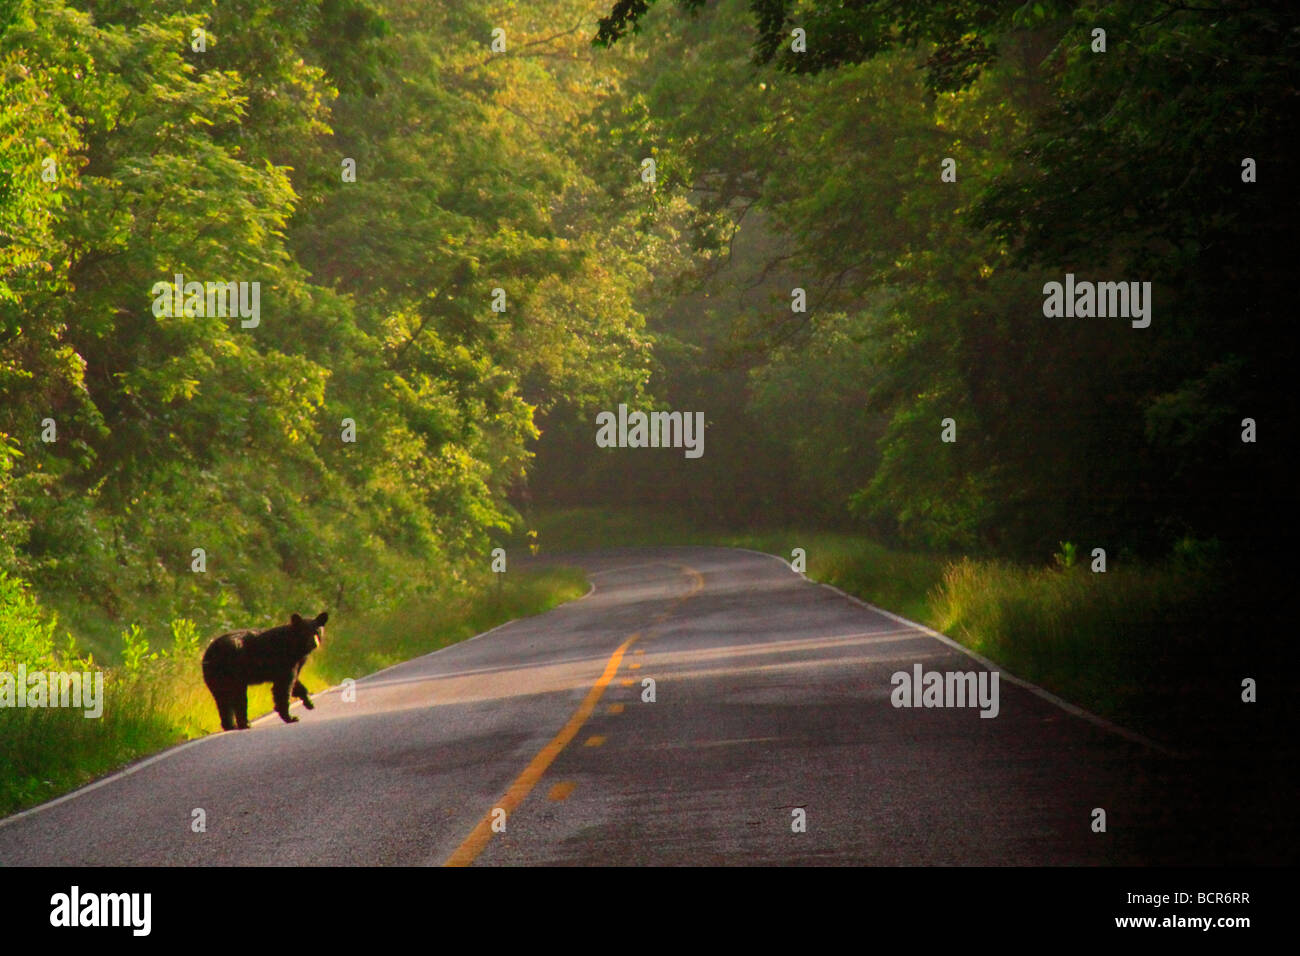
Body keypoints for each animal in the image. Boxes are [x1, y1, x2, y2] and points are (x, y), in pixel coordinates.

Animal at [201, 613, 330, 733]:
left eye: (317, 631)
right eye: (305, 632)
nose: (314, 643)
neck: (294, 646)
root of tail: (210, 652)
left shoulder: (292, 664)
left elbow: (295, 683)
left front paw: (309, 702)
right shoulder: (284, 661)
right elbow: (284, 687)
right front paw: (290, 717)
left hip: (215, 678)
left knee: (222, 701)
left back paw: (230, 725)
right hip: (233, 674)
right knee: (238, 698)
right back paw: (244, 724)